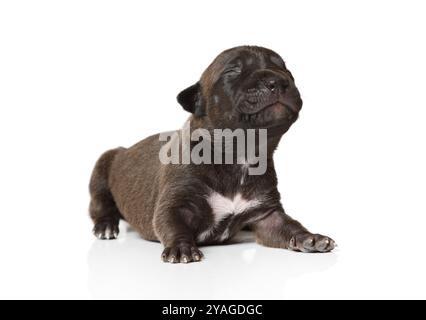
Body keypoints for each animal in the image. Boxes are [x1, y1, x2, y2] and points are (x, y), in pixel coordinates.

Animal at [89, 46, 336, 264]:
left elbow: (290, 226)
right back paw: (106, 226)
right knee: (99, 204)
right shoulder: (175, 204)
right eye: (233, 71)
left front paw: (310, 238)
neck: (240, 155)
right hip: (103, 164)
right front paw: (181, 247)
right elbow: (172, 224)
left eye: (285, 69)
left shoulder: (267, 214)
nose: (278, 81)